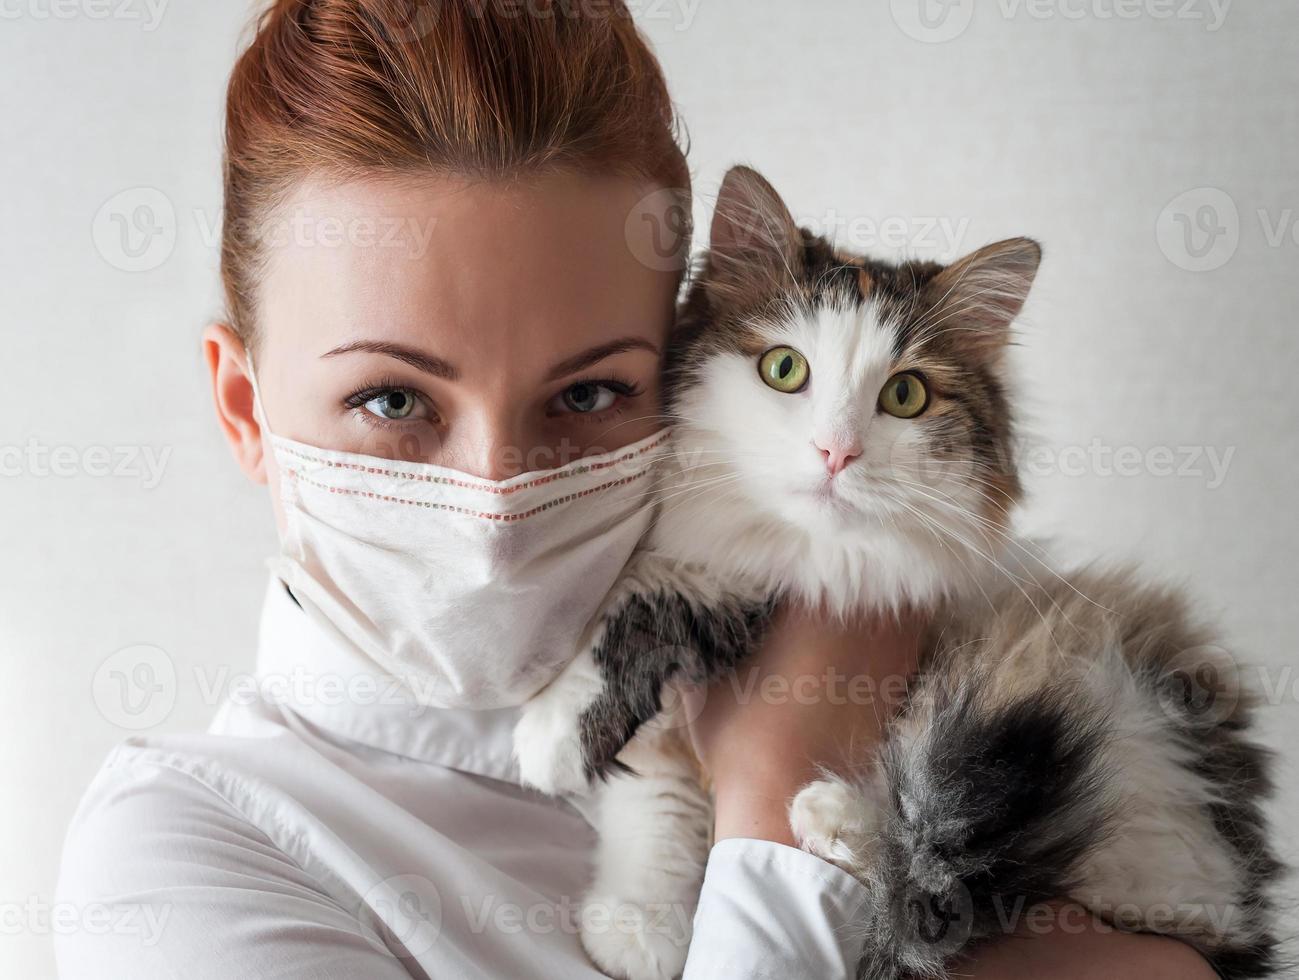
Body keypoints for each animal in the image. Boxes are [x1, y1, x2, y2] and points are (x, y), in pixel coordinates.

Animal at [511, 164, 1283, 972]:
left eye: (905, 395)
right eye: (784, 369)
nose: (836, 452)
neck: (808, 555)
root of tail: (1233, 920)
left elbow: (653, 595)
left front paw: (550, 734)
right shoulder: (669, 728)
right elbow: (651, 813)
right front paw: (640, 926)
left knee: (949, 878)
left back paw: (835, 815)